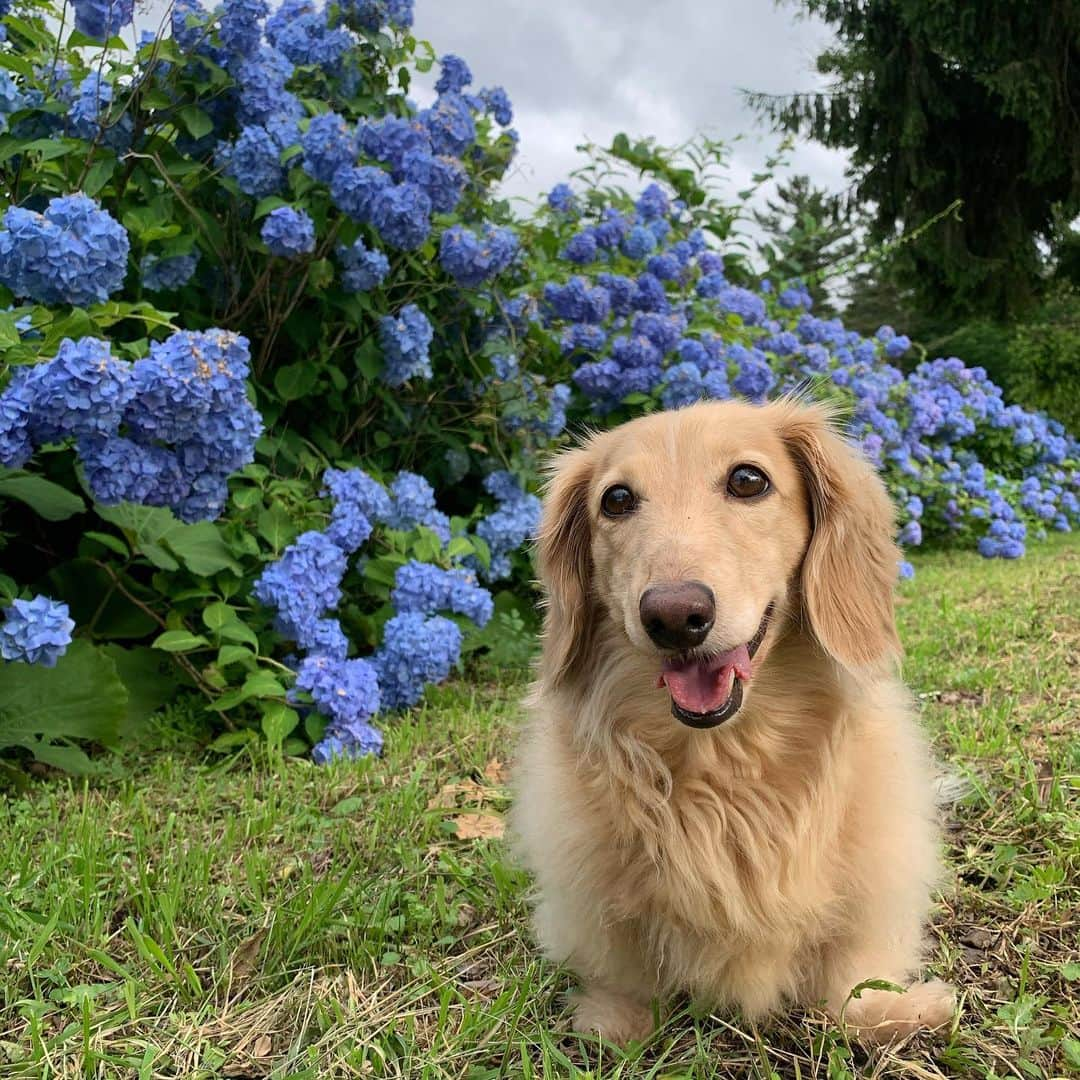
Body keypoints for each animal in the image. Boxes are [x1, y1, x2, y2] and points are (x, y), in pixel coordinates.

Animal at [509, 399, 959, 1045]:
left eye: (748, 480)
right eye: (616, 499)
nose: (674, 616)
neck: (724, 760)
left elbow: (849, 980)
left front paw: (893, 1011)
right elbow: (623, 971)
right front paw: (616, 1021)